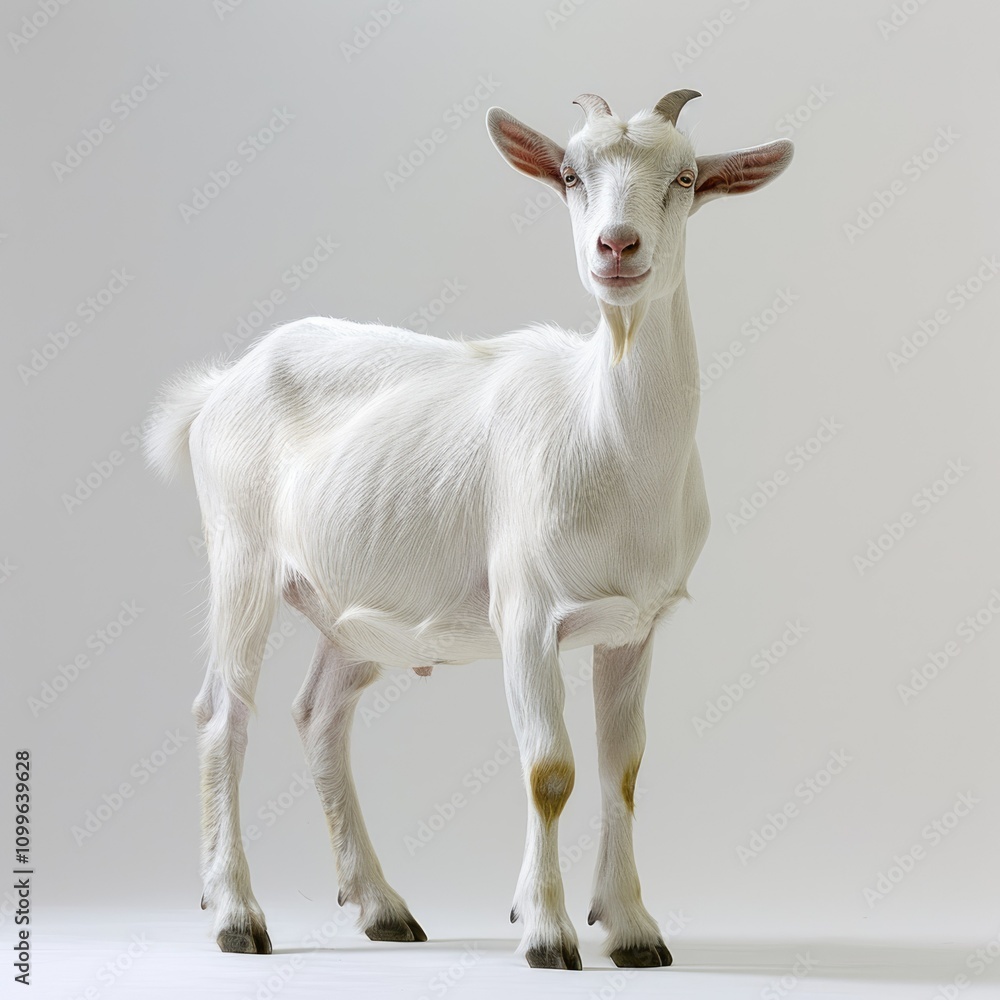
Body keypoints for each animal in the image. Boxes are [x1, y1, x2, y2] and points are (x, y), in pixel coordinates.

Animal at [146, 90, 792, 970]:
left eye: (686, 178)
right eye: (570, 174)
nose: (616, 247)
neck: (608, 438)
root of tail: (220, 386)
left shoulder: (634, 628)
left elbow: (621, 768)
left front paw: (631, 927)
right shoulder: (526, 613)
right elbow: (550, 770)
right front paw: (548, 932)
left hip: (356, 611)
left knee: (319, 714)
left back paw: (381, 906)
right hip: (239, 553)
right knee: (223, 714)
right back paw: (236, 915)